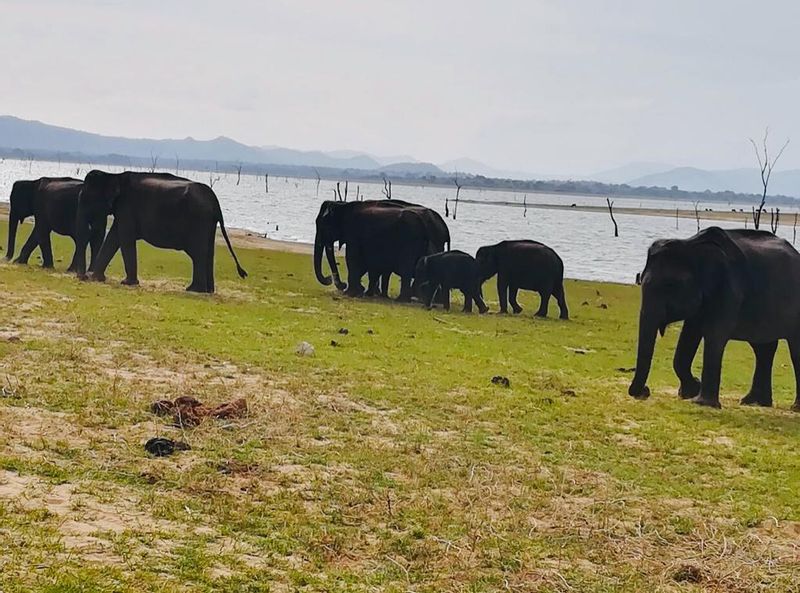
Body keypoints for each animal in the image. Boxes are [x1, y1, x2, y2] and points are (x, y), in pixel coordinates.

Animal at [77, 170, 250, 292]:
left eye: (86, 197)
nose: (82, 277)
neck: (114, 176)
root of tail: (215, 201)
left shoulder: (127, 208)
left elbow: (125, 238)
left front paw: (127, 283)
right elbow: (114, 238)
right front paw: (96, 278)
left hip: (199, 219)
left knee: (198, 254)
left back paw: (194, 290)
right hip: (208, 223)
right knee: (208, 253)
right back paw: (207, 291)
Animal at [628, 224, 800, 410]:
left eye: (670, 286)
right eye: (640, 279)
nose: (645, 391)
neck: (691, 245)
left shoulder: (729, 289)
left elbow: (714, 335)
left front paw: (702, 402)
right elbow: (689, 334)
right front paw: (691, 391)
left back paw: (792, 408)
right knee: (763, 348)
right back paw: (754, 402)